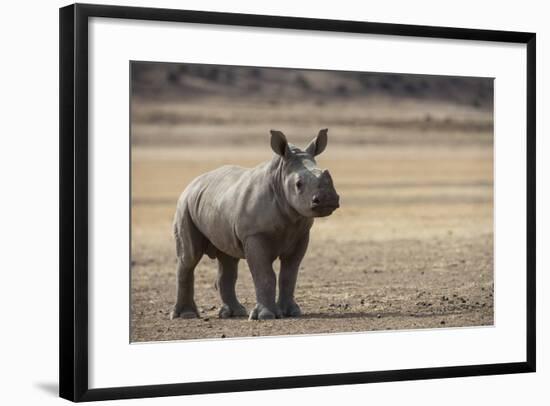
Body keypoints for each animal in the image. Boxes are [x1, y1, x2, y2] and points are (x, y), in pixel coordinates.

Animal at [170, 130, 340, 320]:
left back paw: (235, 313)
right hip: (185, 205)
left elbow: (289, 274)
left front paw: (291, 312)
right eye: (298, 184)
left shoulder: (301, 234)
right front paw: (265, 315)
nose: (327, 199)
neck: (279, 178)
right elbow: (264, 274)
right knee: (189, 258)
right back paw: (186, 315)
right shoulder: (254, 234)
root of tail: (193, 183)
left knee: (228, 260)